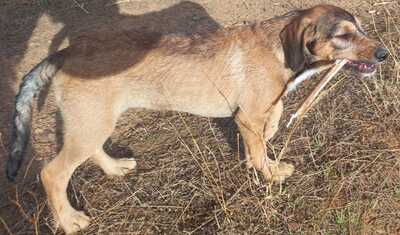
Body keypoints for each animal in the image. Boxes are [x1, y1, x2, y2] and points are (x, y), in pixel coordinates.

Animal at [5, 4, 388, 234]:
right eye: (342, 36)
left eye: (360, 28)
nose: (384, 54)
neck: (279, 49)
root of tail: (65, 52)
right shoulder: (248, 115)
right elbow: (262, 148)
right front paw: (269, 173)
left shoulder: (255, 113)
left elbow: (270, 126)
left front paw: (259, 154)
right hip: (89, 125)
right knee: (52, 173)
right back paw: (70, 220)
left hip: (93, 123)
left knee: (91, 152)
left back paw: (114, 168)